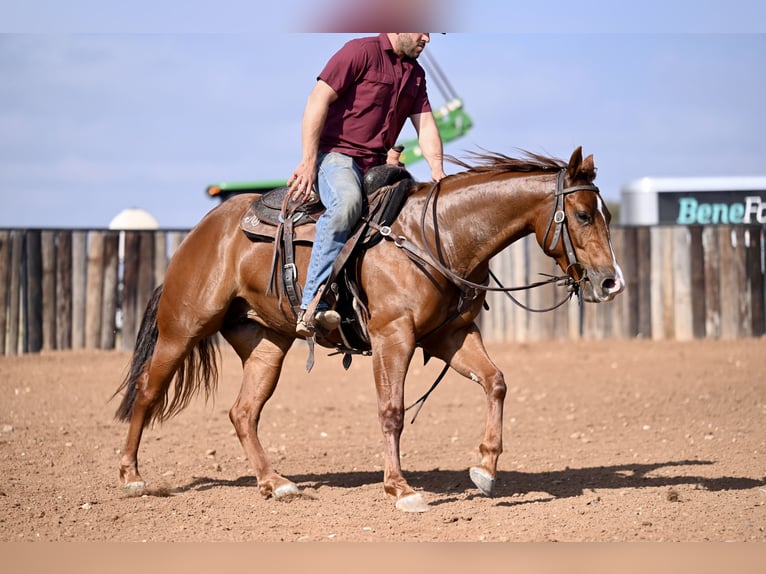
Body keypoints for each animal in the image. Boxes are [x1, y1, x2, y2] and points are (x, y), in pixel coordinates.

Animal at [115, 146, 632, 516]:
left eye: (606, 214)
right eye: (583, 215)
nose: (612, 282)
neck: (437, 236)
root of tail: (202, 230)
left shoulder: (452, 336)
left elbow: (496, 382)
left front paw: (485, 467)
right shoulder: (392, 336)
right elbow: (392, 411)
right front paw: (400, 488)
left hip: (267, 344)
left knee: (243, 412)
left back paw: (275, 483)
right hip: (183, 329)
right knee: (147, 390)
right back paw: (131, 476)